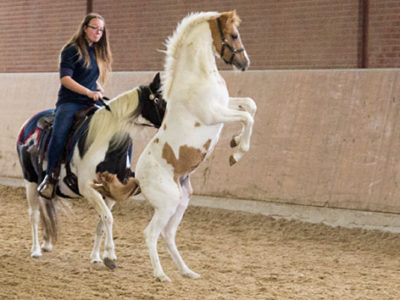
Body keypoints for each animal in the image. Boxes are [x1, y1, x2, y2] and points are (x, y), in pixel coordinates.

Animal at [16, 73, 166, 270]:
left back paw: (47, 244)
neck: (108, 144)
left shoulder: (110, 193)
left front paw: (96, 256)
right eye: (157, 99)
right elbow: (108, 218)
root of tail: (28, 124)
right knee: (34, 214)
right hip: (30, 180)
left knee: (47, 207)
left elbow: (102, 222)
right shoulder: (89, 189)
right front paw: (110, 256)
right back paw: (35, 250)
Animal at [98, 9, 258, 282]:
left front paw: (235, 142)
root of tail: (139, 178)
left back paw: (187, 271)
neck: (197, 76)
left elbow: (250, 105)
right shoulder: (214, 114)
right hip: (167, 205)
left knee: (168, 235)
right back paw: (161, 275)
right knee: (151, 233)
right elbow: (247, 116)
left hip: (181, 203)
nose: (244, 63)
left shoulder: (224, 104)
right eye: (234, 35)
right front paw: (236, 153)